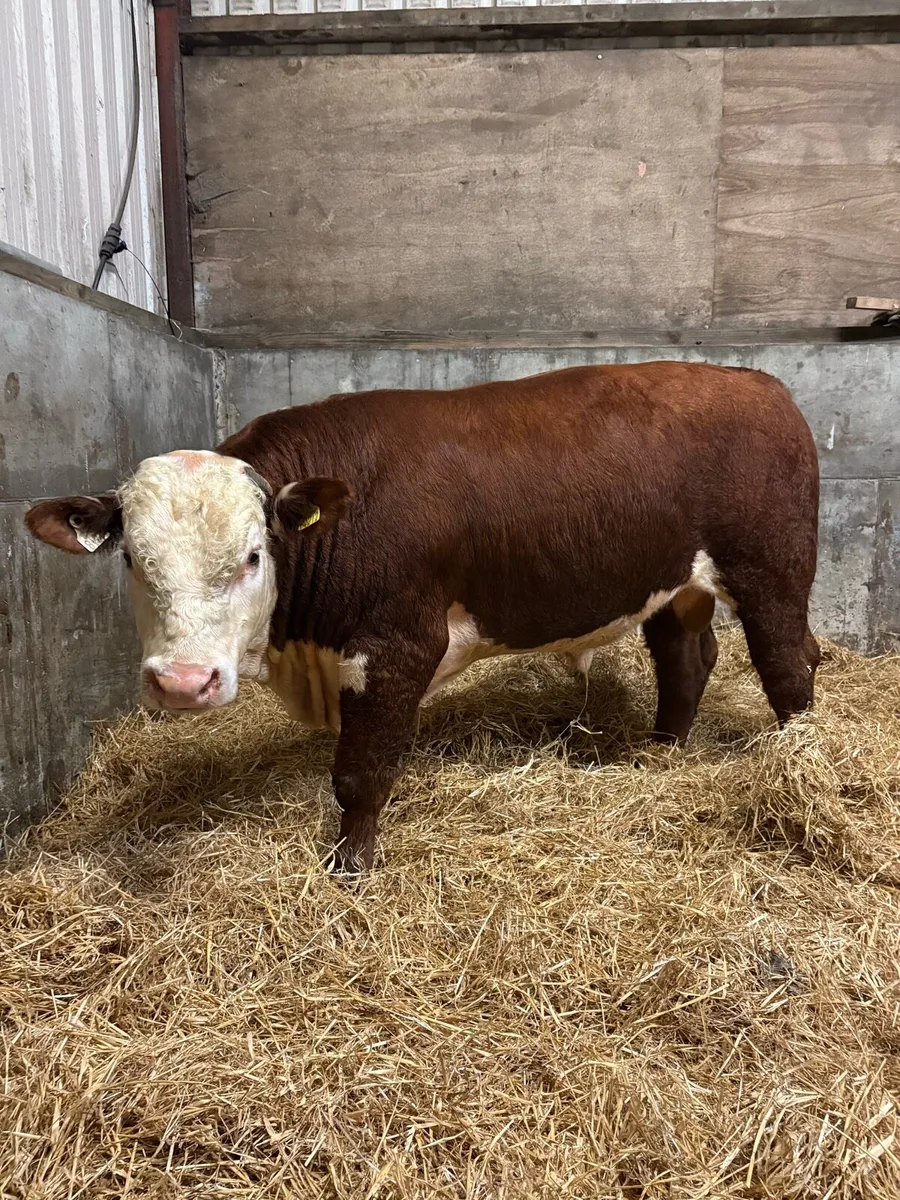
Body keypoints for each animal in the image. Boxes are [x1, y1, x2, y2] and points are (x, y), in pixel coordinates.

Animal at [26, 362, 820, 870]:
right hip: (673, 583)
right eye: (132, 560)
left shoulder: (394, 646)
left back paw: (802, 765)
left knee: (791, 666)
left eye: (253, 556)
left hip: (771, 569)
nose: (183, 683)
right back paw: (661, 752)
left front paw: (350, 867)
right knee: (686, 659)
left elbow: (360, 773)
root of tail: (757, 380)